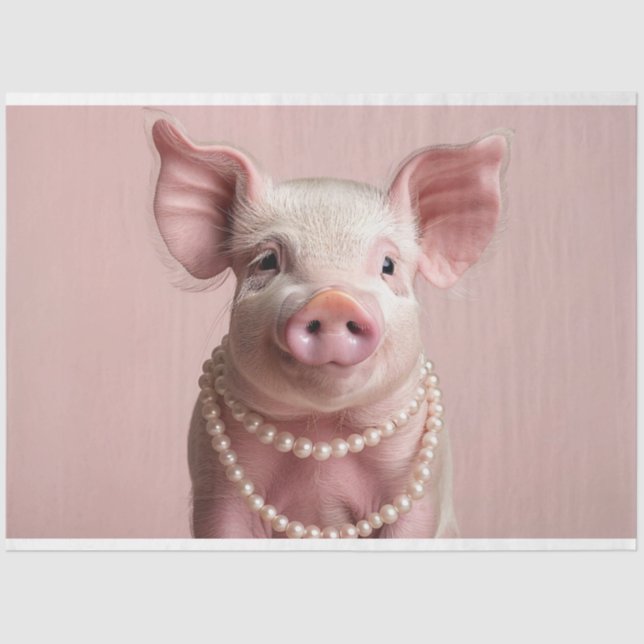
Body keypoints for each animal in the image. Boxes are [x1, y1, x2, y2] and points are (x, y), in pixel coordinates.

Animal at [147, 113, 510, 539]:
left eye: (388, 265)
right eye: (268, 261)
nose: (333, 299)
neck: (322, 430)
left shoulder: (423, 487)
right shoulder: (214, 484)